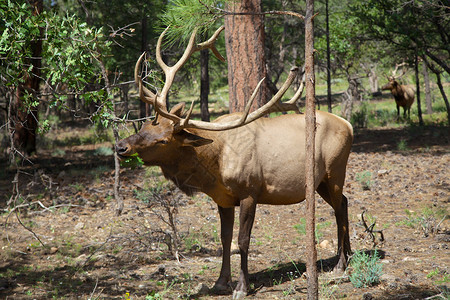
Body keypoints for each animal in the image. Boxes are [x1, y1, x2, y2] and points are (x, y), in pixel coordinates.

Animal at [117, 26, 356, 298]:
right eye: (146, 125)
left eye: (163, 141)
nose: (121, 147)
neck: (214, 166)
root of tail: (349, 125)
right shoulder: (223, 199)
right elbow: (224, 239)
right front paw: (221, 282)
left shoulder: (250, 192)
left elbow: (242, 240)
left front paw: (242, 286)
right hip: (319, 182)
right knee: (344, 203)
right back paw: (348, 255)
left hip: (335, 171)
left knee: (339, 208)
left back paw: (340, 264)